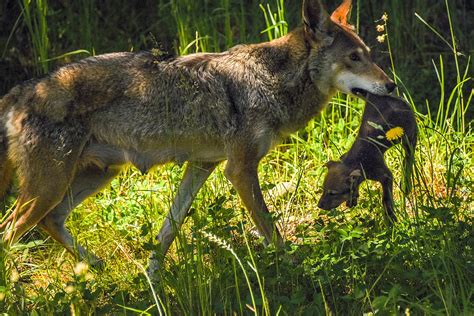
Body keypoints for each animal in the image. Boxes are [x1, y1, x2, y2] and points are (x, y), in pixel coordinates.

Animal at [0, 0, 394, 272]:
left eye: (369, 55)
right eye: (354, 57)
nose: (390, 85)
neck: (270, 80)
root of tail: (21, 91)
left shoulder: (203, 166)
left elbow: (167, 231)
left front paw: (153, 281)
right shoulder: (239, 170)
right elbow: (272, 232)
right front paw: (297, 271)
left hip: (91, 178)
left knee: (50, 221)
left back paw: (96, 267)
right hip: (49, 187)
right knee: (10, 231)